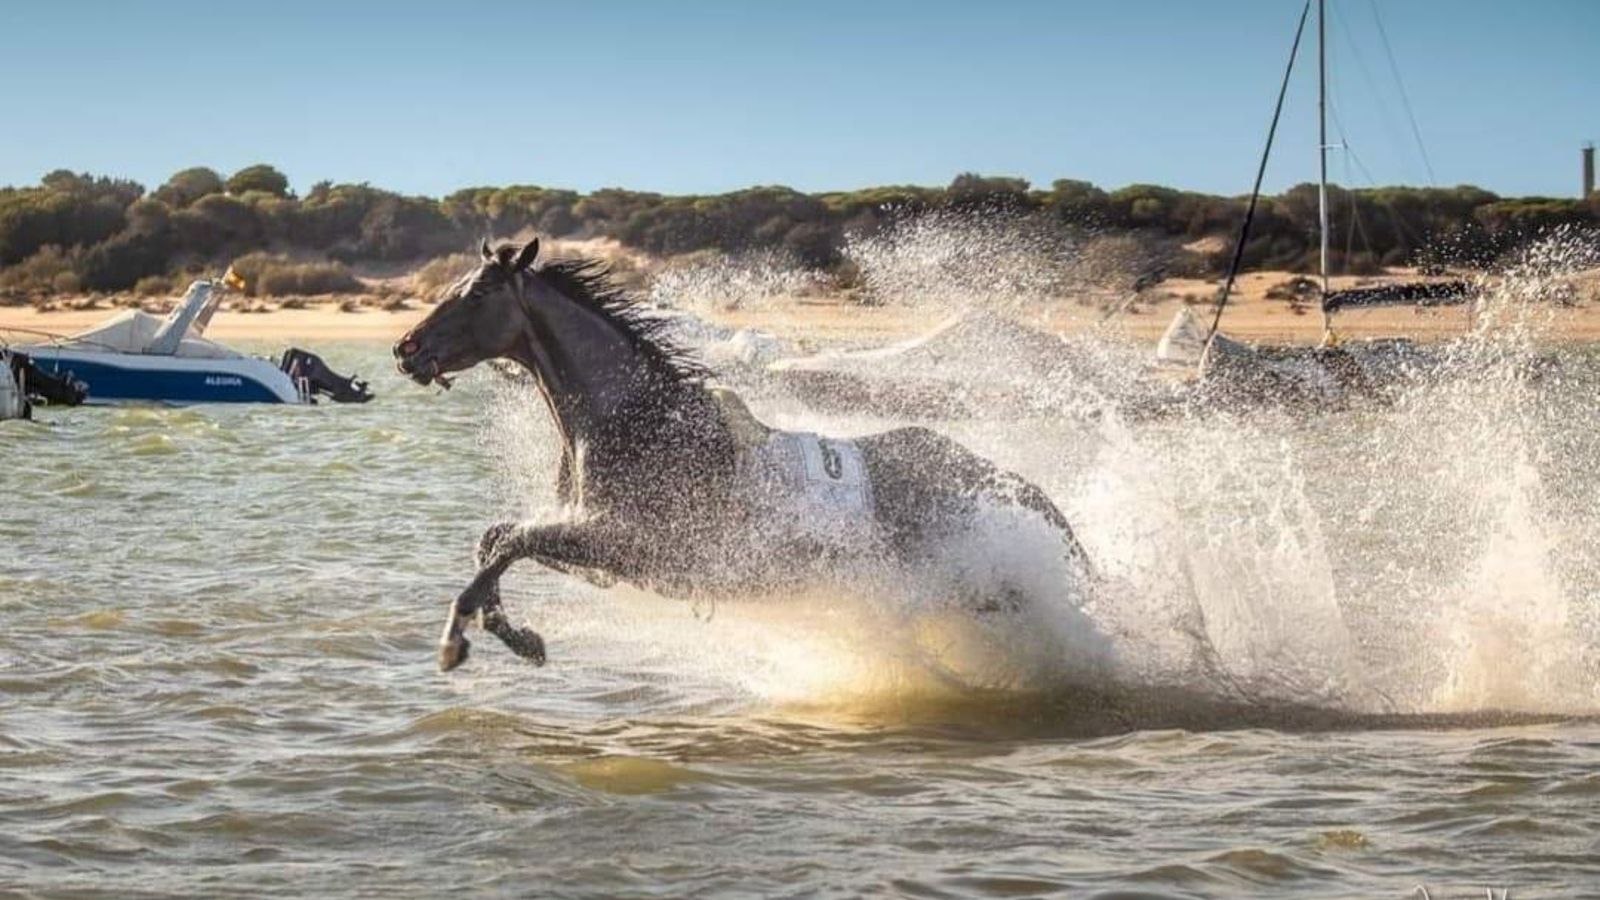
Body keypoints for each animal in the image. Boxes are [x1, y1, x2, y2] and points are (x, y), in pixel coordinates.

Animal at [395, 239, 1101, 672]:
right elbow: (496, 540)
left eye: (477, 295)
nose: (405, 350)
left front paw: (456, 643)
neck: (633, 421)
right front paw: (521, 639)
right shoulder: (592, 542)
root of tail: (1021, 490)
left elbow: (509, 544)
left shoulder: (631, 544)